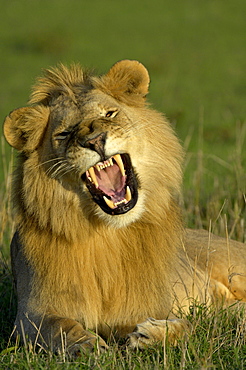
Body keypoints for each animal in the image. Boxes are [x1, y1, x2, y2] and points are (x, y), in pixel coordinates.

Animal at [3, 60, 246, 352]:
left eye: (109, 113)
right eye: (63, 133)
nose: (95, 140)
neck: (105, 233)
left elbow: (187, 325)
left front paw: (152, 333)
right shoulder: (30, 314)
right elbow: (58, 326)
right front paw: (87, 346)